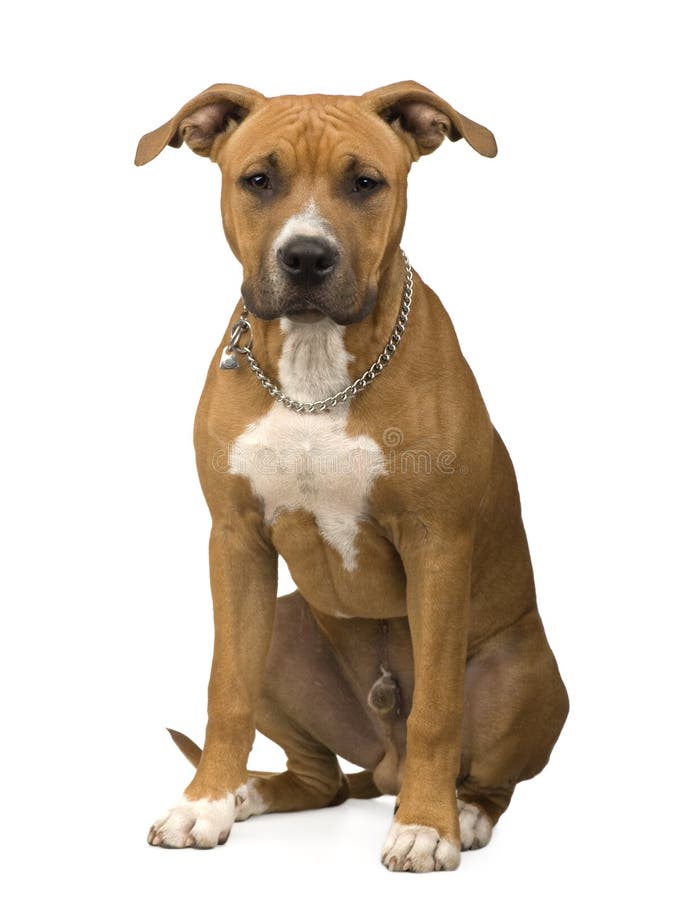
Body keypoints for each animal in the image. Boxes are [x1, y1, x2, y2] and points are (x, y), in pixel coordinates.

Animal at [134, 79, 568, 872]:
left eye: (365, 183)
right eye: (258, 180)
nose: (307, 257)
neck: (316, 368)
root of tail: (384, 766)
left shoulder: (437, 544)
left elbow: (437, 711)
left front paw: (426, 828)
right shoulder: (235, 540)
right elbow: (225, 689)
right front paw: (203, 804)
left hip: (525, 669)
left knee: (484, 773)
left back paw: (461, 811)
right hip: (282, 628)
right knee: (323, 781)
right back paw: (249, 792)